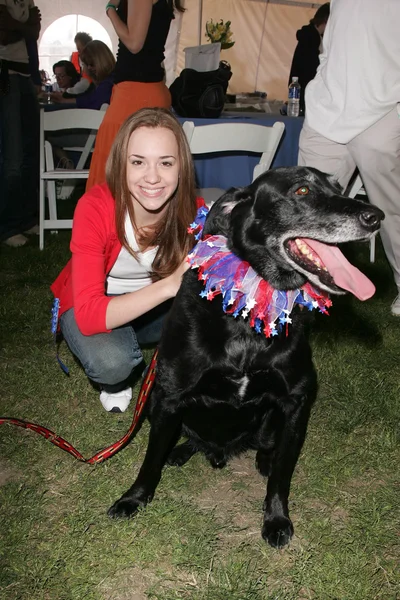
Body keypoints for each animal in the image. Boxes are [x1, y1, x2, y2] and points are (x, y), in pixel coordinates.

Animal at [108, 165, 382, 548]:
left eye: (339, 188)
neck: (248, 315)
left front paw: (276, 518)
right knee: (187, 438)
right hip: (151, 401)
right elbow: (150, 460)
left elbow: (281, 476)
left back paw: (262, 458)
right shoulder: (169, 396)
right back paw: (180, 450)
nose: (377, 217)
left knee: (267, 445)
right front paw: (133, 498)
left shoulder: (296, 402)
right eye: (301, 190)